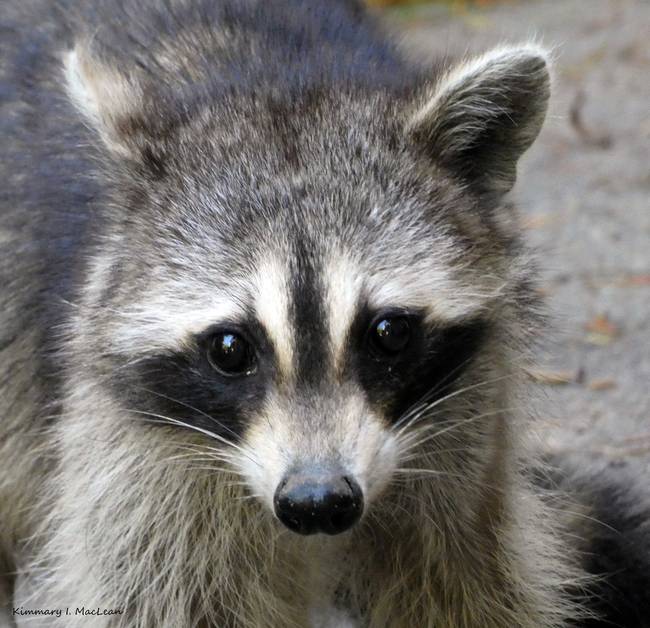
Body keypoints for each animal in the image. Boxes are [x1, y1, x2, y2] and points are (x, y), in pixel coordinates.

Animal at [0, 0, 648, 626]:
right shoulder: (132, 446)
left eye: (388, 333)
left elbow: (462, 584)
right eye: (230, 349)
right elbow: (167, 599)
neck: (272, 81)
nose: (318, 502)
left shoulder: (466, 414)